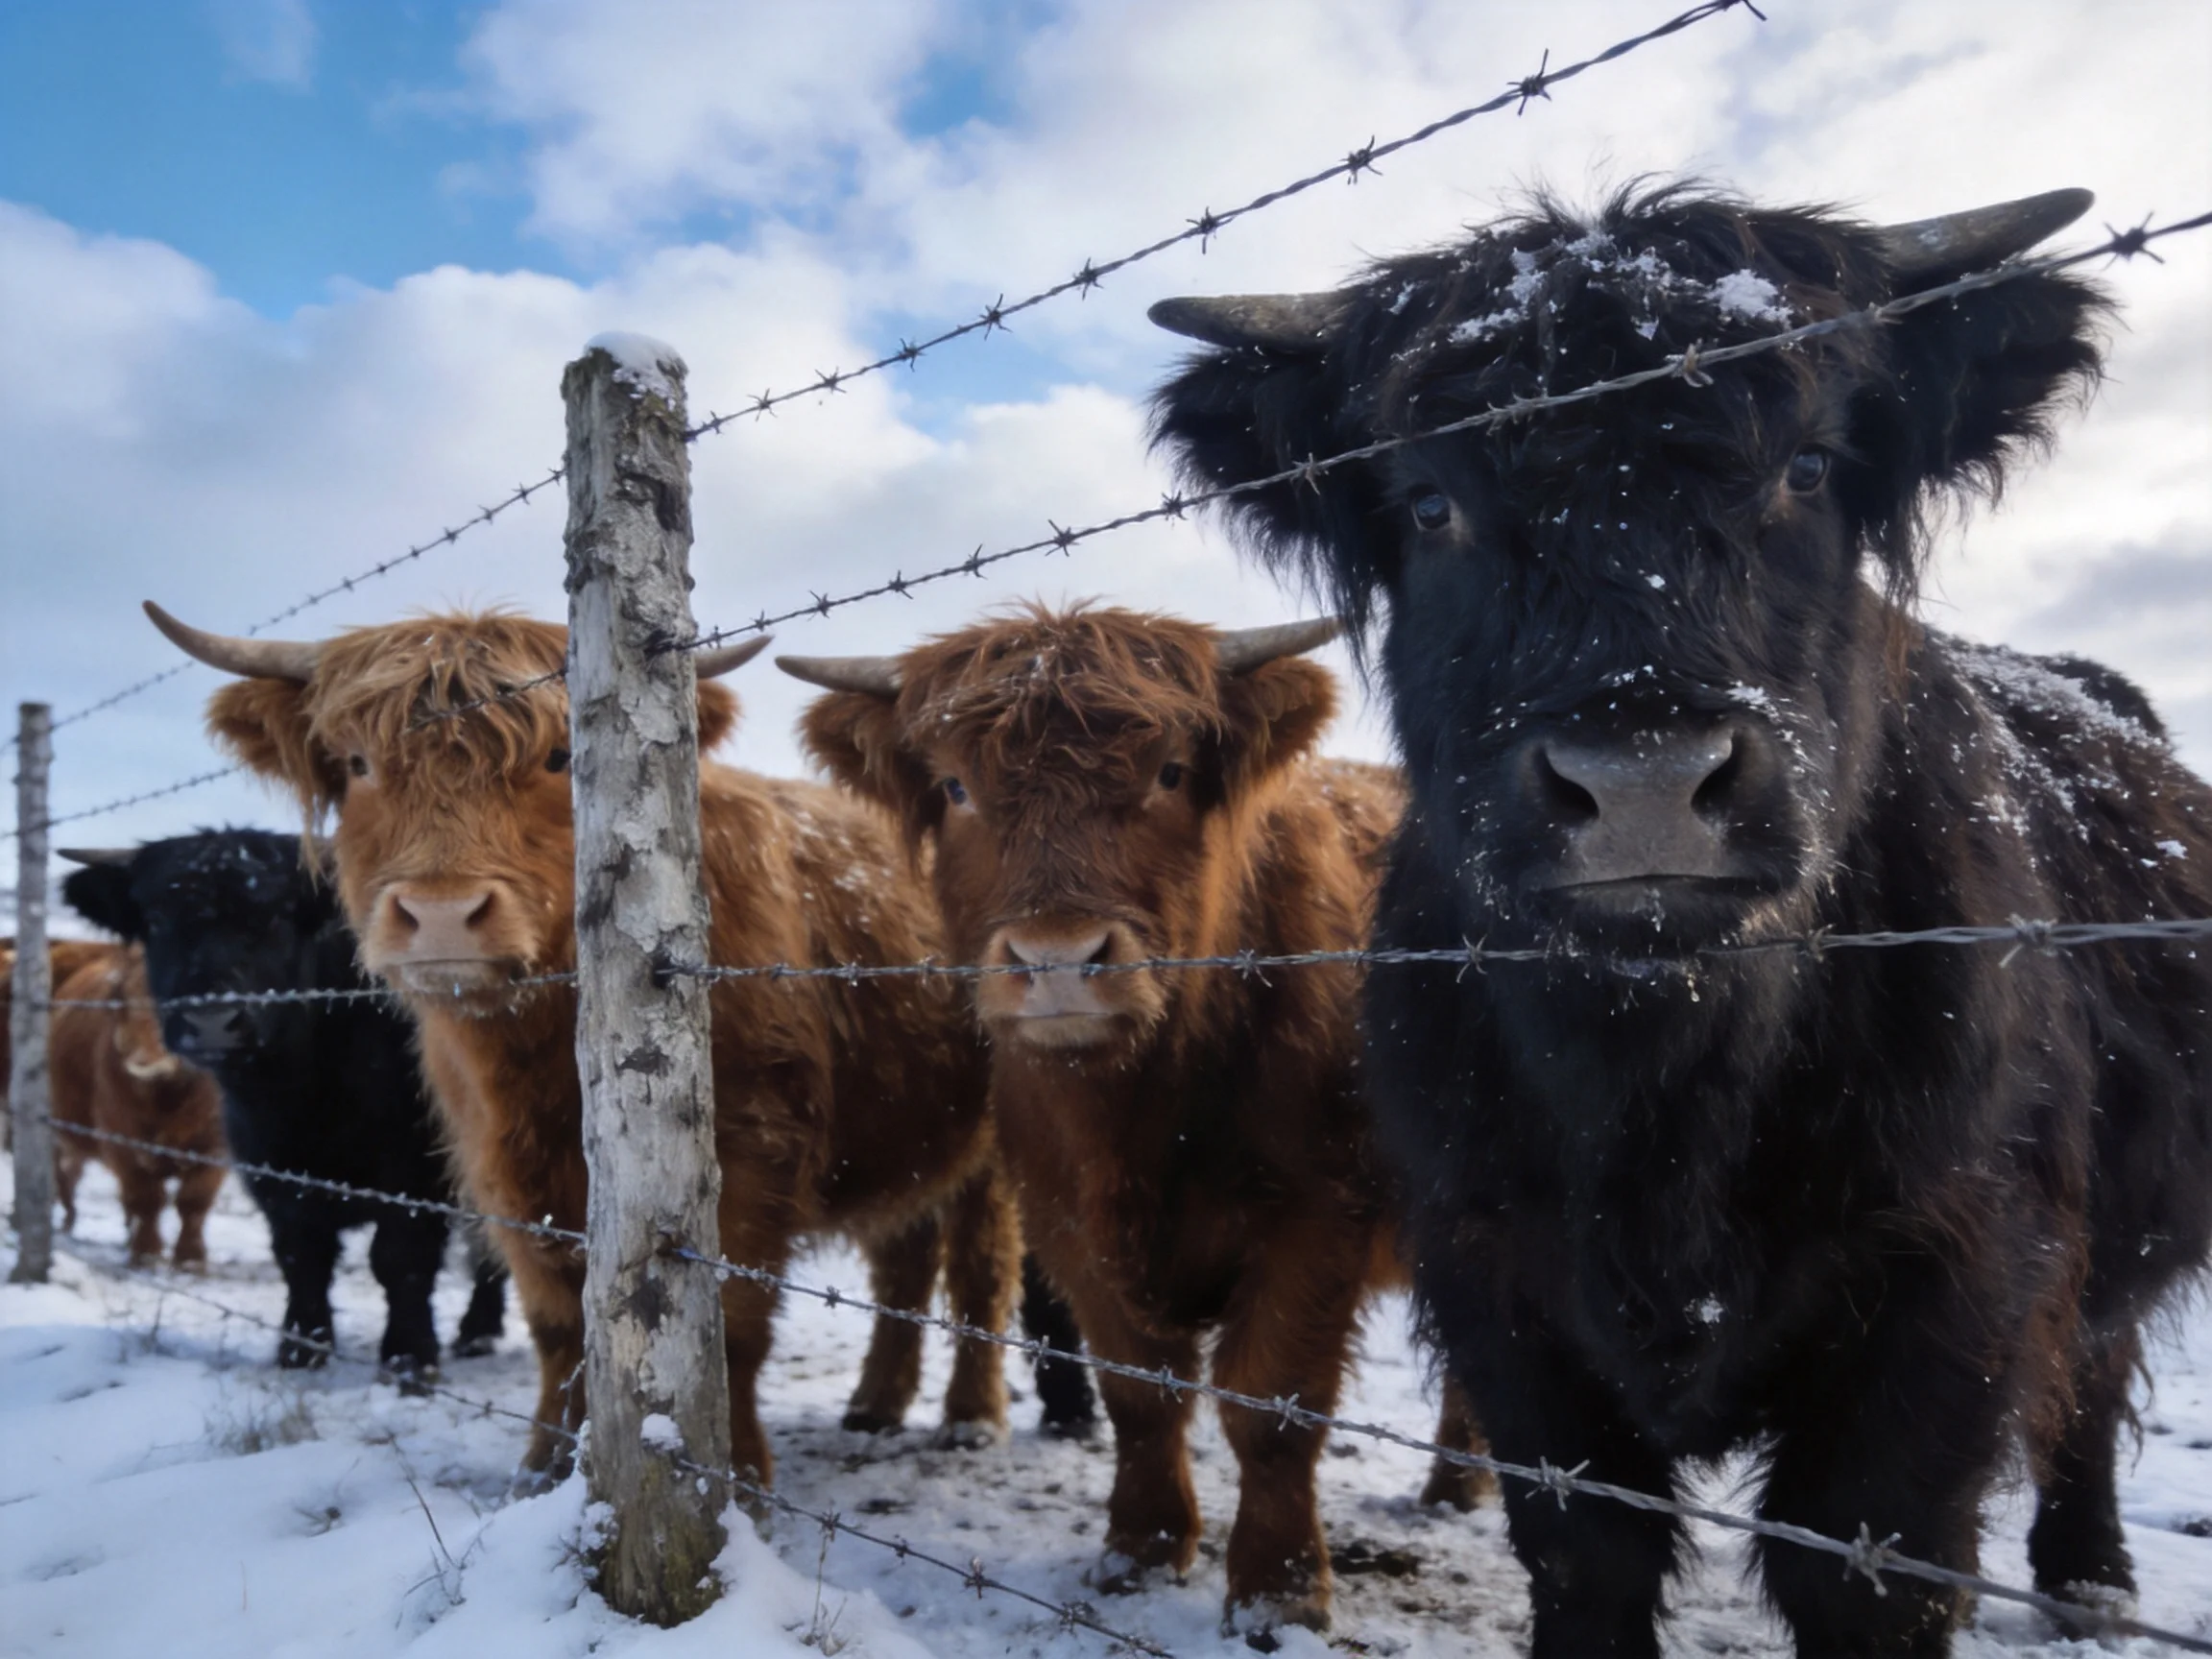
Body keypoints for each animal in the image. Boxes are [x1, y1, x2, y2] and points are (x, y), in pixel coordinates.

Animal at [61, 831, 508, 1386]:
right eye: (158, 919)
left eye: (274, 917)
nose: (212, 1019)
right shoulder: (271, 1167)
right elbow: (301, 1256)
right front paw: (301, 1349)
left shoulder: (416, 1170)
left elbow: (400, 1258)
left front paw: (409, 1359)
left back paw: (478, 1330)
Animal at [139, 607, 1018, 1488]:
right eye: (357, 764)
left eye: (559, 759)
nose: (443, 913)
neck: (541, 1061)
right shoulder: (503, 1168)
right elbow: (557, 1322)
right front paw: (546, 1464)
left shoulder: (754, 1157)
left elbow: (733, 1327)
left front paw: (739, 1477)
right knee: (906, 1262)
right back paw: (875, 1404)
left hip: (995, 1141)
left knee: (980, 1270)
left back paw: (969, 1418)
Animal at [785, 603, 1492, 1639]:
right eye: (955, 785)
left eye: (1169, 772)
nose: (1058, 958)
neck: (1136, 1115)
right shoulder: (1067, 1221)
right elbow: (1138, 1393)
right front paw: (1141, 1551)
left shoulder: (1317, 1217)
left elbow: (1269, 1404)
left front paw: (1279, 1590)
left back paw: (1461, 1484)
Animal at [1146, 184, 2212, 1653]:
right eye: (1430, 502)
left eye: (1809, 469)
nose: (1643, 781)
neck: (1665, 1089)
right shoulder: (1498, 1283)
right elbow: (1585, 1548)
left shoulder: (1961, 1284)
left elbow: (1867, 1564)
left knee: (2094, 1382)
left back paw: (2092, 1574)